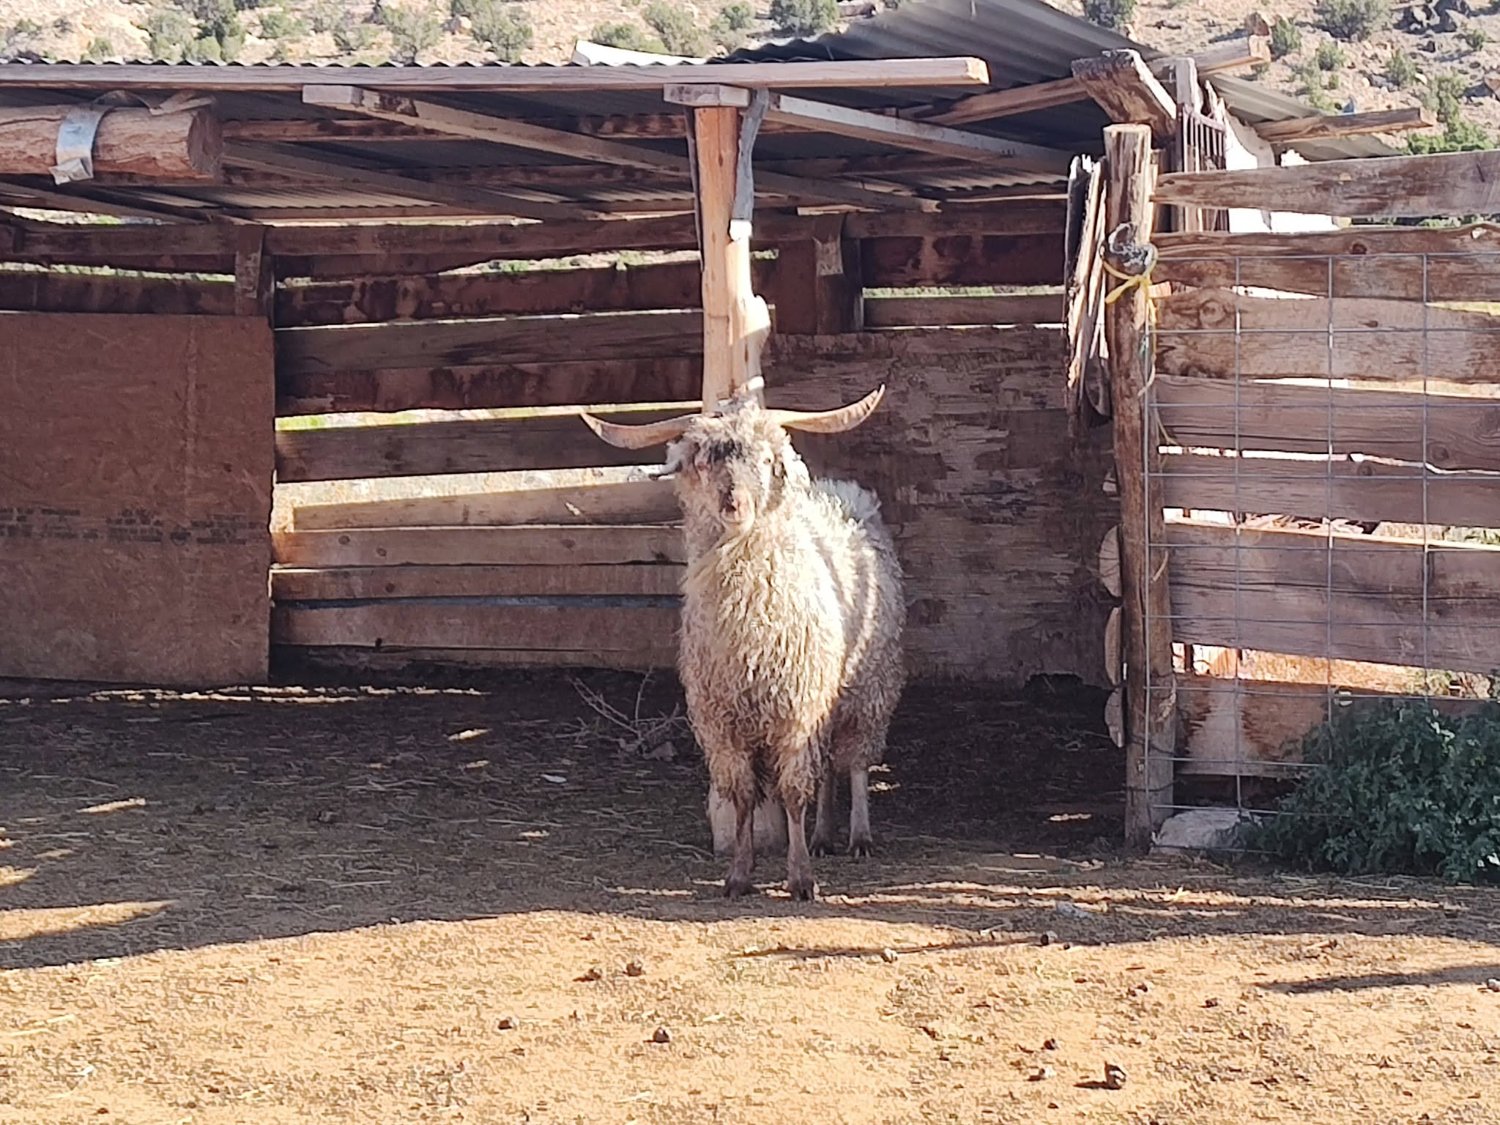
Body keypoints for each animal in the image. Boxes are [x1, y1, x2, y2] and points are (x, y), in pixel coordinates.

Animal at [582, 385, 904, 900]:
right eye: (701, 460)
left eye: (768, 459)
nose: (734, 505)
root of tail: (842, 490)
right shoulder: (723, 723)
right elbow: (743, 797)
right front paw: (739, 873)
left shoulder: (795, 714)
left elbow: (792, 794)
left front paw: (801, 879)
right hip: (827, 697)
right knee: (829, 768)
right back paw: (824, 834)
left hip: (869, 689)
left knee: (854, 763)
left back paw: (858, 836)